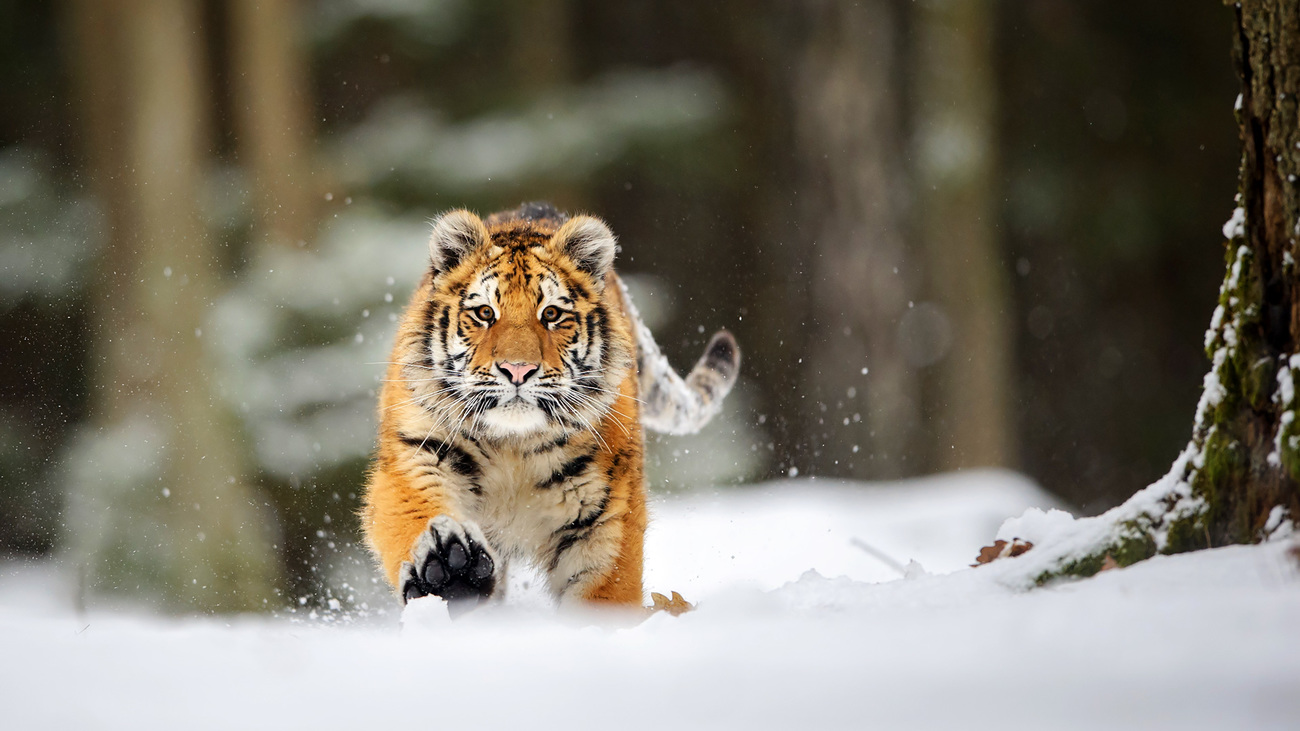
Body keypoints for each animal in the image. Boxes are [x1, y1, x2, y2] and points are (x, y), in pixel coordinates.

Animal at [361, 197, 743, 608]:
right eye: (484, 313)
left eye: (552, 314)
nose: (517, 369)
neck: (512, 447)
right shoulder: (415, 454)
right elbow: (414, 511)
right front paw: (450, 569)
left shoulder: (604, 516)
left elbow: (605, 596)